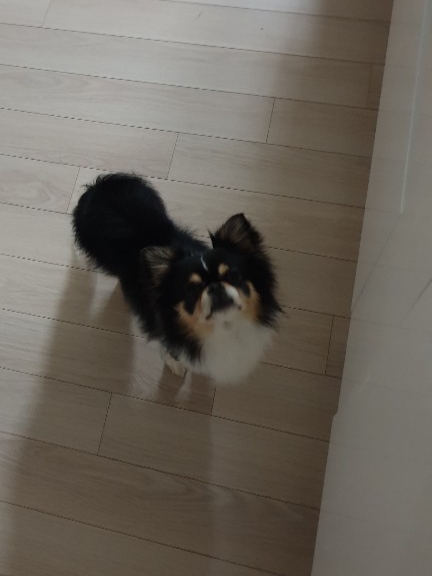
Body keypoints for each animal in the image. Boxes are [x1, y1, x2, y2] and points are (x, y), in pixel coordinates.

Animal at [72, 173, 281, 383]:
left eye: (232, 275)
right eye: (192, 290)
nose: (214, 287)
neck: (223, 327)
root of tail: (99, 186)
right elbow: (170, 349)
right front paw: (176, 364)